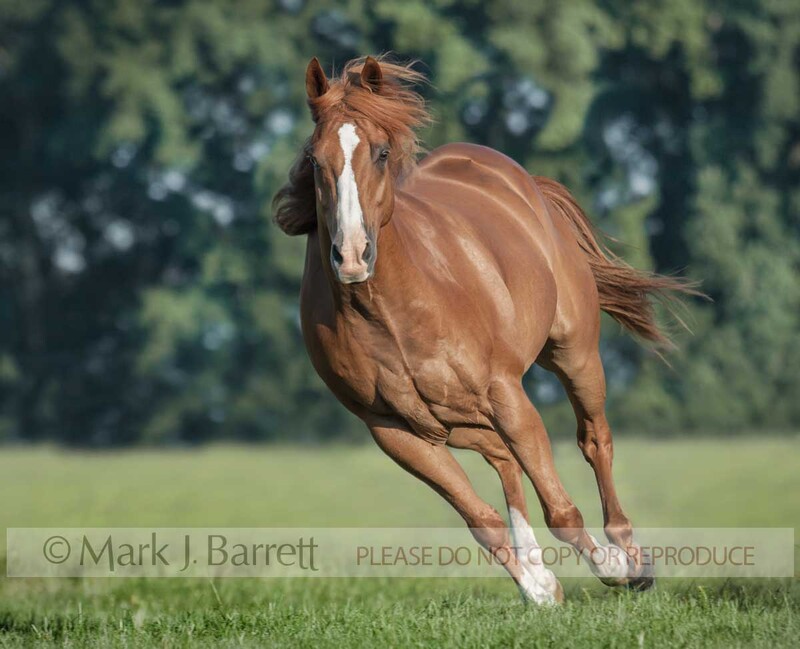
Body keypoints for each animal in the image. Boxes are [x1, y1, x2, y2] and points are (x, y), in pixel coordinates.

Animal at [273, 55, 697, 604]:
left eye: (382, 153)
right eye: (314, 159)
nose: (351, 256)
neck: (389, 313)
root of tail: (525, 182)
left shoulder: (506, 395)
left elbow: (562, 510)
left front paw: (613, 567)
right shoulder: (392, 430)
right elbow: (482, 521)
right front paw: (540, 589)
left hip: (573, 353)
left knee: (593, 440)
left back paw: (632, 557)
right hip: (452, 420)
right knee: (503, 458)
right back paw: (544, 571)